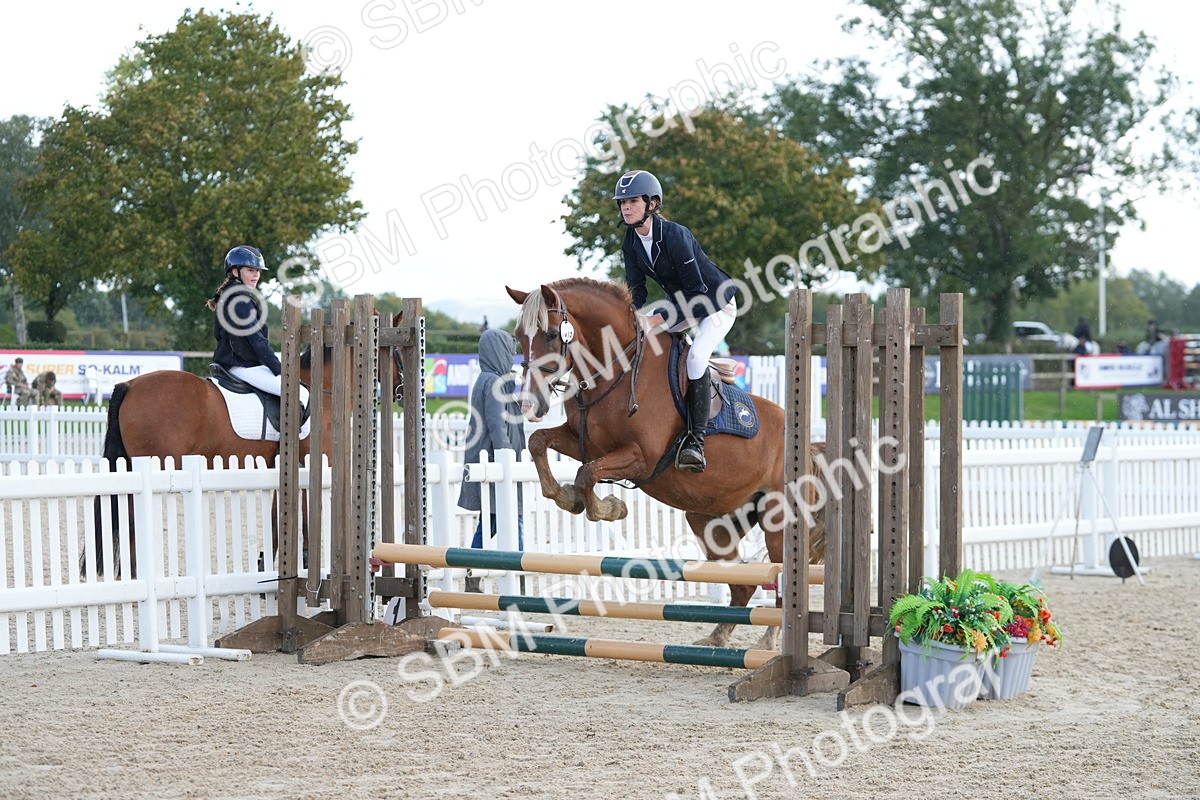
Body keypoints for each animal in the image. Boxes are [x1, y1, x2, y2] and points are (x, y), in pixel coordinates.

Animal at [506, 278, 826, 651]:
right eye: (519, 335)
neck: (616, 369)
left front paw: (609, 508)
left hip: (778, 521)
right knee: (743, 582)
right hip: (711, 521)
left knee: (782, 581)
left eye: (551, 334)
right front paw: (566, 497)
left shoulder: (640, 458)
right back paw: (715, 638)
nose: (529, 405)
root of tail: (807, 445)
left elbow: (587, 474)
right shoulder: (581, 441)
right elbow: (538, 442)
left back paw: (766, 643)